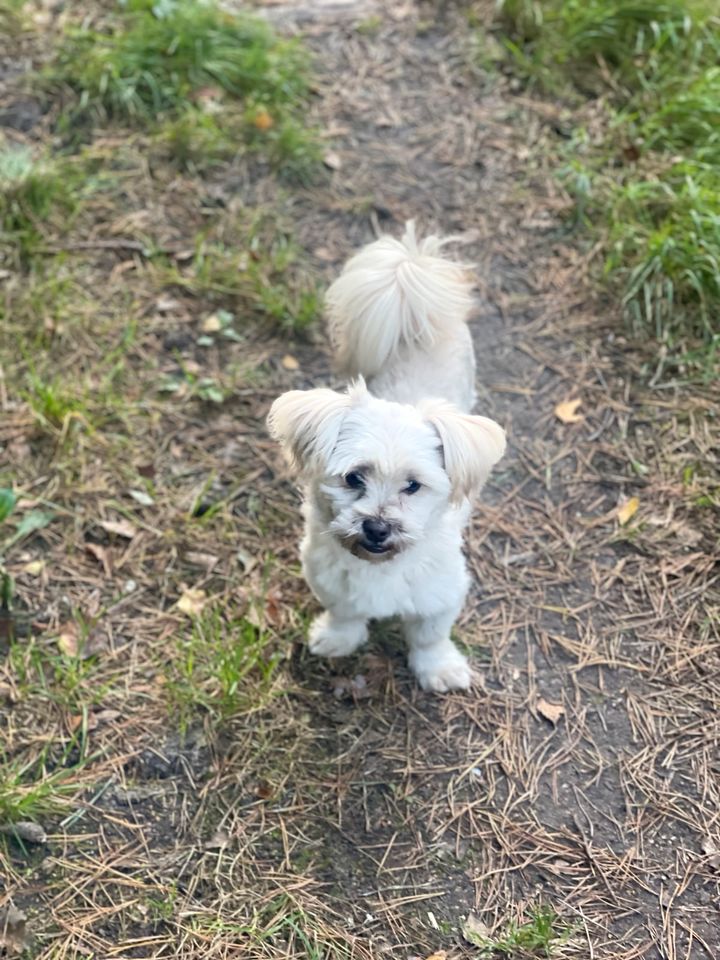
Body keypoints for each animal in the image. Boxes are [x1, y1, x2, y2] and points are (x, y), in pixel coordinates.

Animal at [268, 225, 506, 688]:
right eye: (353, 478)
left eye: (413, 486)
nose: (377, 527)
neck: (380, 567)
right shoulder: (331, 581)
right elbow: (345, 614)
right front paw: (337, 639)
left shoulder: (441, 593)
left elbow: (430, 635)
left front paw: (439, 669)